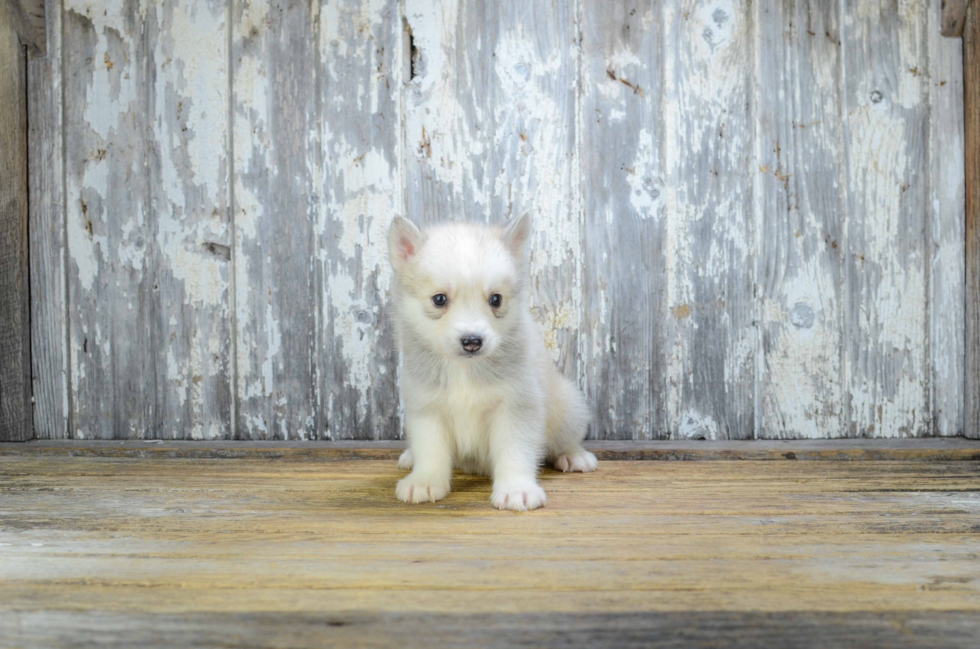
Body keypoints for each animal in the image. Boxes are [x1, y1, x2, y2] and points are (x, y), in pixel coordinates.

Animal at [386, 214, 592, 512]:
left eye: (496, 299)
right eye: (439, 299)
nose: (472, 341)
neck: (463, 369)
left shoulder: (516, 408)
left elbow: (515, 452)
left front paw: (516, 489)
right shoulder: (427, 408)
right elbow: (431, 450)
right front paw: (424, 481)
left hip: (569, 409)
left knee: (567, 439)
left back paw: (574, 456)